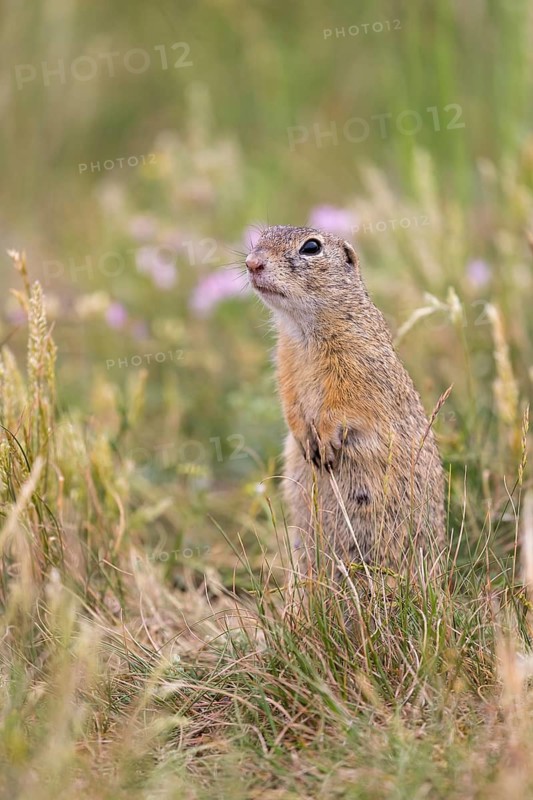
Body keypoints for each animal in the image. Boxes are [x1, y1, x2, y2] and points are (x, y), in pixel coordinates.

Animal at [246, 225, 445, 577]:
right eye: (261, 237)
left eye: (311, 247)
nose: (251, 263)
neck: (302, 328)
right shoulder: (285, 362)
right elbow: (289, 400)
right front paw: (305, 438)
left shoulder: (356, 364)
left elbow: (343, 405)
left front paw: (325, 442)